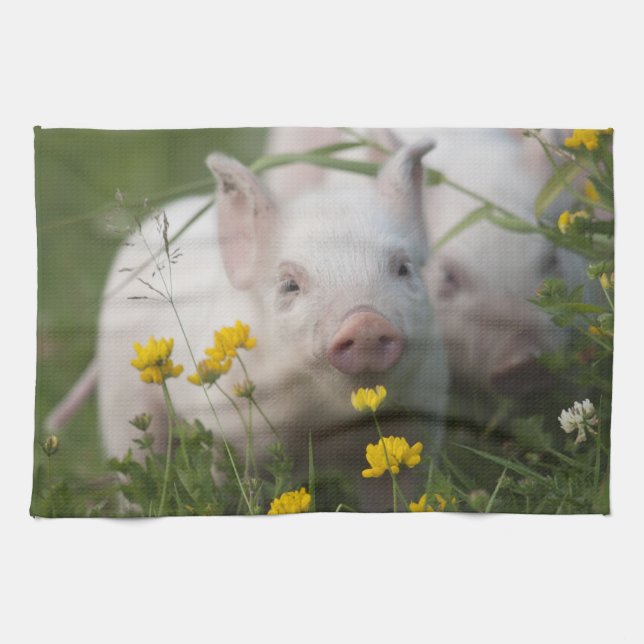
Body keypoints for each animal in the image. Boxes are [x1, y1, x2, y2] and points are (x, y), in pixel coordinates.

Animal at [96, 137, 448, 512]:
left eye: (403, 268)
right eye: (290, 284)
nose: (365, 321)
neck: (322, 418)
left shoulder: (418, 420)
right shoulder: (230, 433)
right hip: (120, 396)